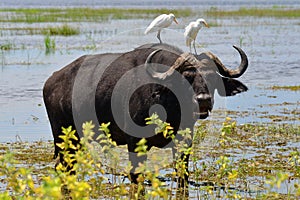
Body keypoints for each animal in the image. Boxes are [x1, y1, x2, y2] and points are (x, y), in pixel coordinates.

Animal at [42, 43, 248, 187]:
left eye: (212, 77)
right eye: (187, 76)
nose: (203, 100)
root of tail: (51, 81)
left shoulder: (184, 142)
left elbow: (182, 175)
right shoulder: (134, 143)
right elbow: (136, 176)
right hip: (63, 137)